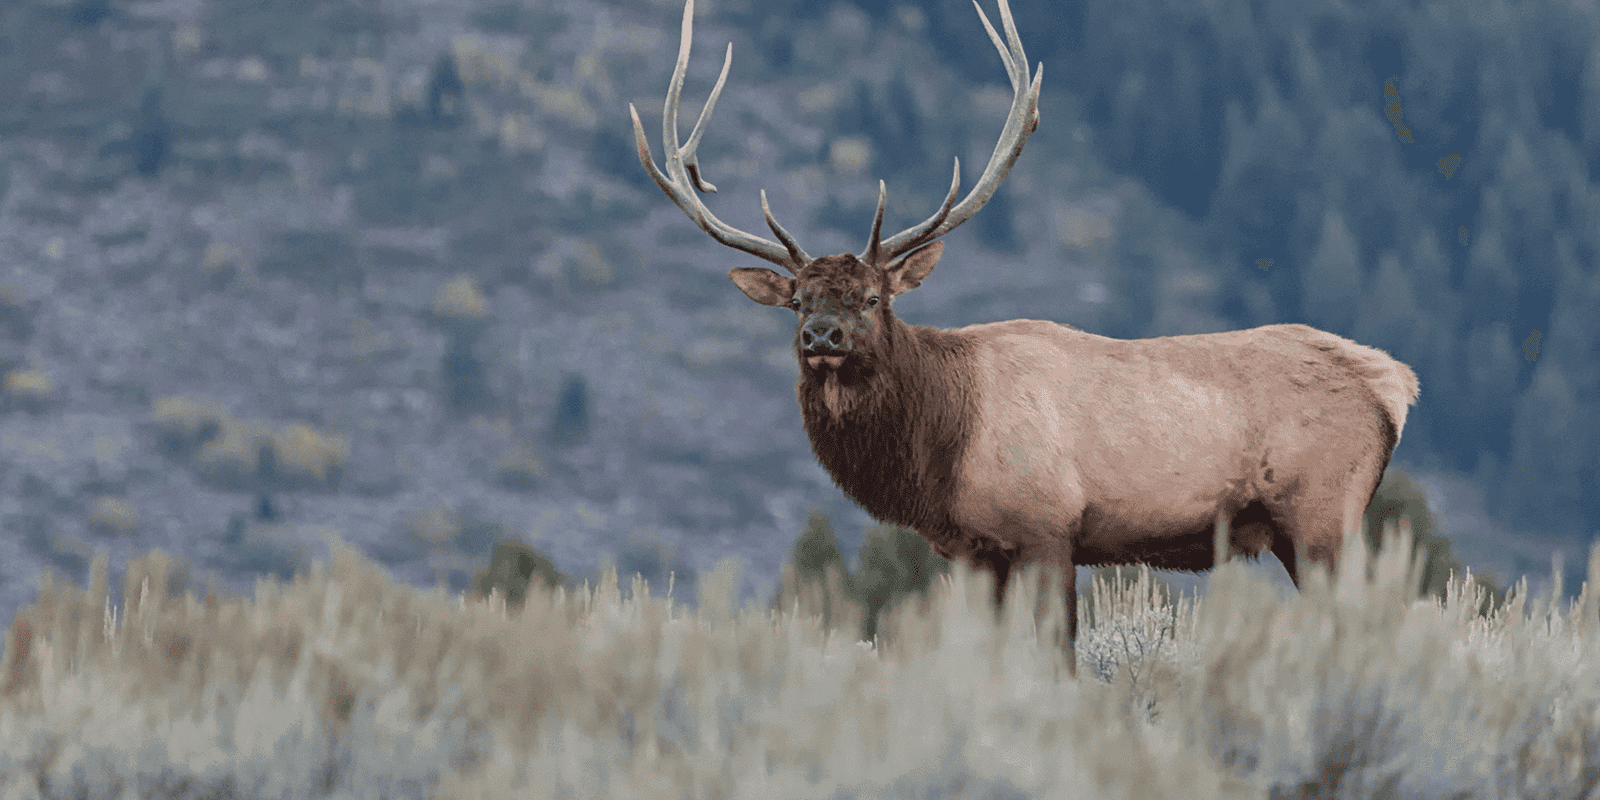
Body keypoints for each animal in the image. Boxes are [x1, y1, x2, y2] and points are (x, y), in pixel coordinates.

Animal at [630, 0, 1420, 674]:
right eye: (796, 301)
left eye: (874, 297)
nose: (822, 336)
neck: (941, 444)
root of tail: (1395, 383)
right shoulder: (977, 552)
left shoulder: (1047, 527)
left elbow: (1058, 658)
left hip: (1322, 514)